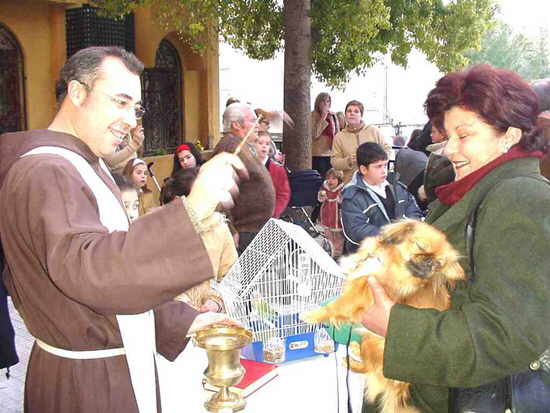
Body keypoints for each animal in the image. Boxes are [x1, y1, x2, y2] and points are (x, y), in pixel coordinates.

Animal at [302, 219, 466, 412]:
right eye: (420, 246)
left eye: (439, 264)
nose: (430, 263)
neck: (391, 264)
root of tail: (401, 384)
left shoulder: (362, 294)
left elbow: (337, 305)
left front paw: (312, 315)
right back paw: (355, 349)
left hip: (374, 342)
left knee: (369, 368)